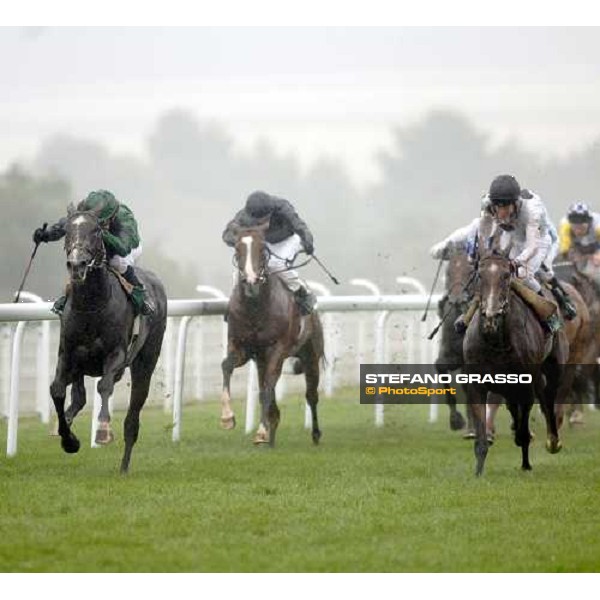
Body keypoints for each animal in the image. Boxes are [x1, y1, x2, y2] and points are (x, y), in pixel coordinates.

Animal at [48, 210, 166, 474]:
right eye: (67, 230)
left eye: (95, 231)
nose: (77, 264)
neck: (91, 305)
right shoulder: (68, 354)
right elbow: (57, 389)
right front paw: (68, 439)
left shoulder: (116, 355)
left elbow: (104, 386)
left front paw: (102, 431)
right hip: (80, 364)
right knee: (78, 398)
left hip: (145, 362)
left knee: (133, 416)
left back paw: (124, 466)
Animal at [219, 220, 324, 446]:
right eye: (238, 249)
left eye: (262, 249)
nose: (251, 282)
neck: (255, 307)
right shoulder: (242, 346)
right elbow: (227, 366)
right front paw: (227, 418)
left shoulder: (277, 349)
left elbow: (267, 390)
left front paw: (260, 432)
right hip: (261, 360)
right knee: (271, 397)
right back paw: (271, 437)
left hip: (310, 355)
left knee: (311, 395)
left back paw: (315, 434)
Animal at [462, 246, 568, 476]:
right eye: (480, 276)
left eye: (505, 275)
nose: (491, 315)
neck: (495, 340)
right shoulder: (477, 384)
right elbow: (481, 431)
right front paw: (478, 471)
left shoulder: (525, 383)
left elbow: (525, 425)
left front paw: (526, 460)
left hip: (554, 367)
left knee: (548, 398)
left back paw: (552, 441)